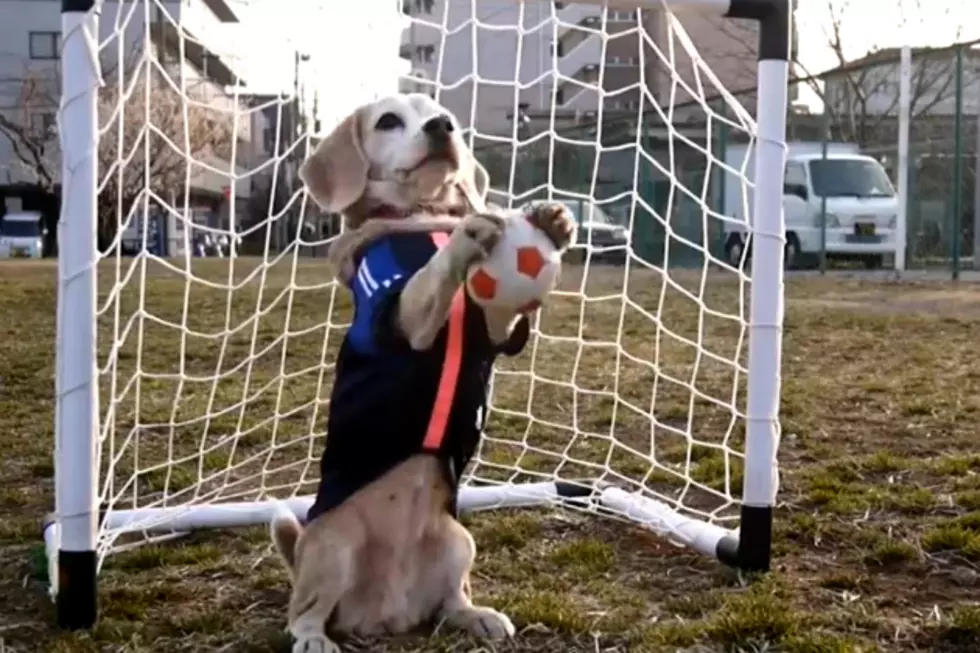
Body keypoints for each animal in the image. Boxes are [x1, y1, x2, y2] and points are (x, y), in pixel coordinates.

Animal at [270, 93, 576, 652]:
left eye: (445, 116)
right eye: (388, 121)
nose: (442, 127)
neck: (421, 215)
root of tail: (386, 614)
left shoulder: (491, 326)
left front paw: (553, 221)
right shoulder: (405, 311)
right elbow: (433, 274)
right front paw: (467, 234)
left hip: (458, 540)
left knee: (450, 601)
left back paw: (477, 615)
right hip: (333, 545)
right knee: (302, 613)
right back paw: (315, 637)